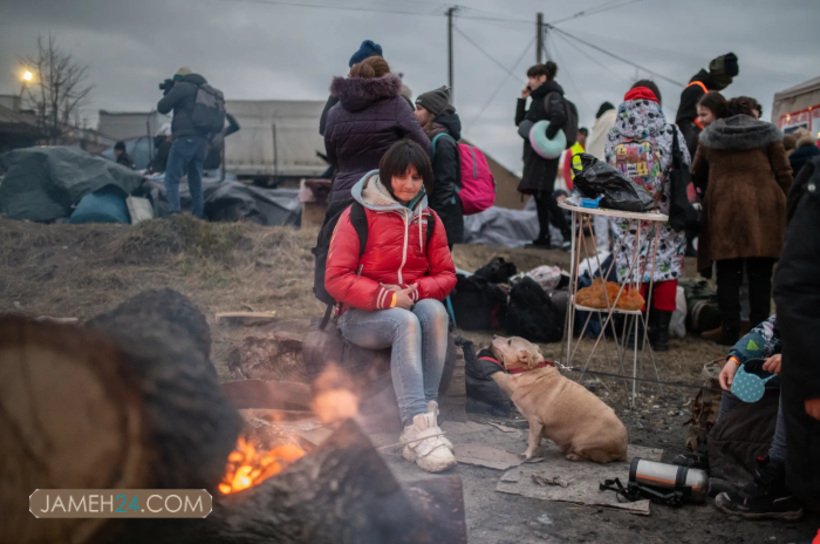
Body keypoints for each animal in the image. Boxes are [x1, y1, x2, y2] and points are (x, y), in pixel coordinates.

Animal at [486, 336, 628, 464]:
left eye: (509, 341)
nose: (493, 336)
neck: (532, 369)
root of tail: (623, 450)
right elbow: (537, 439)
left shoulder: (535, 421)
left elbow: (532, 440)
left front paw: (528, 454)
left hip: (582, 443)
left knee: (596, 458)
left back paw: (574, 456)